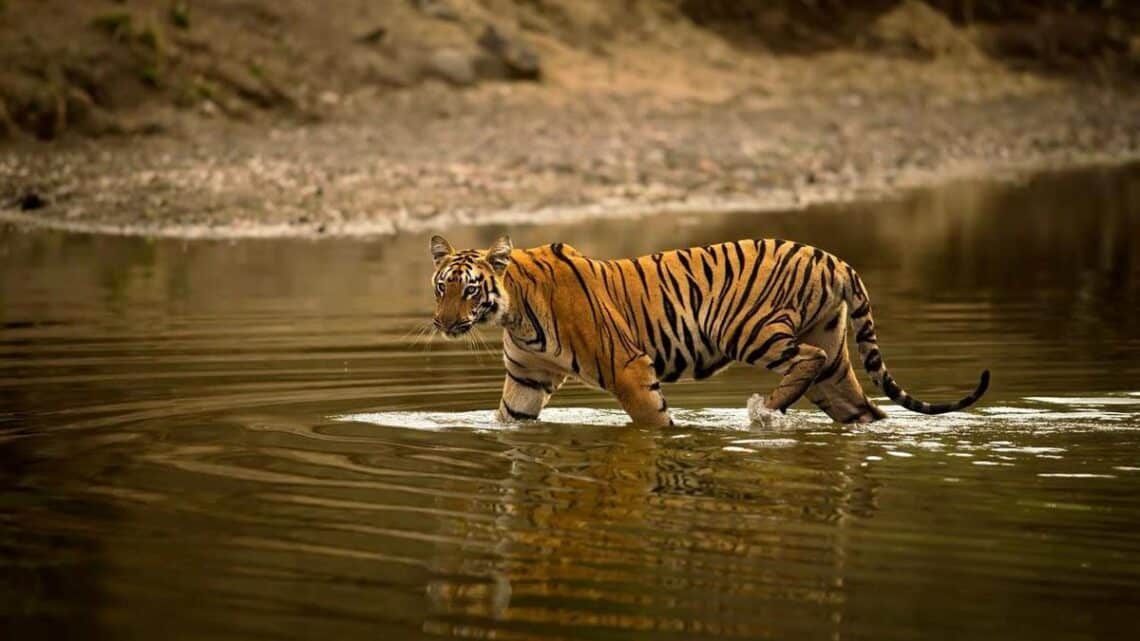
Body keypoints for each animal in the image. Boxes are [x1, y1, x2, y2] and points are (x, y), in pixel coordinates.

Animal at [429, 234, 989, 427]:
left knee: (803, 360)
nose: (444, 323)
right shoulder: (528, 378)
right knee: (863, 409)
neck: (514, 312)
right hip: (833, 360)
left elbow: (654, 422)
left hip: (751, 328)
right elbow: (509, 419)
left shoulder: (627, 366)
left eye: (470, 290)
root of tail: (834, 258)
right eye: (441, 288)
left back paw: (765, 410)